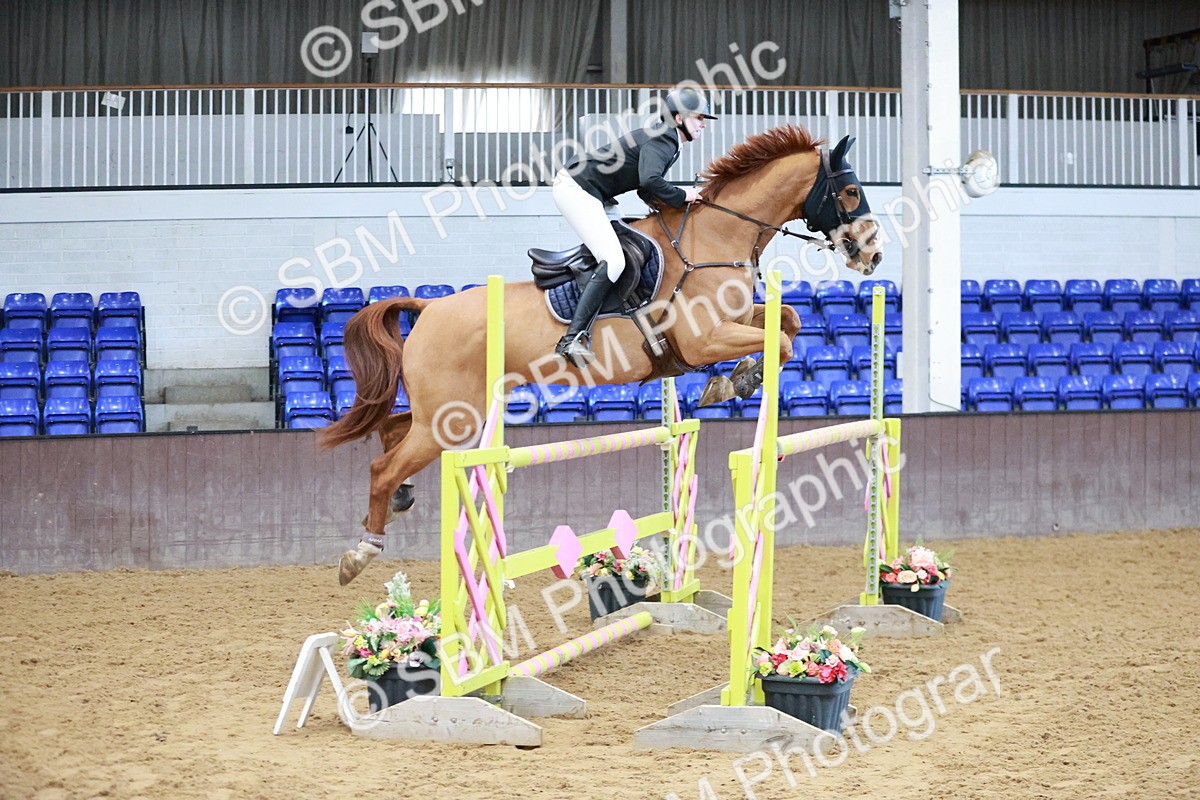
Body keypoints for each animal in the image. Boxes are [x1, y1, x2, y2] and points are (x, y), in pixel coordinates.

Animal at [320, 125, 882, 585]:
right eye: (851, 190)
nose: (873, 256)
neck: (715, 238)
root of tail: (430, 306)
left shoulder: (734, 321)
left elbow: (788, 322)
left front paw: (735, 378)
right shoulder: (703, 340)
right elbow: (782, 340)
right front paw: (736, 381)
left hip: (450, 411)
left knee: (393, 432)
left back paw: (399, 501)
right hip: (451, 418)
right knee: (383, 466)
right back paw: (360, 552)